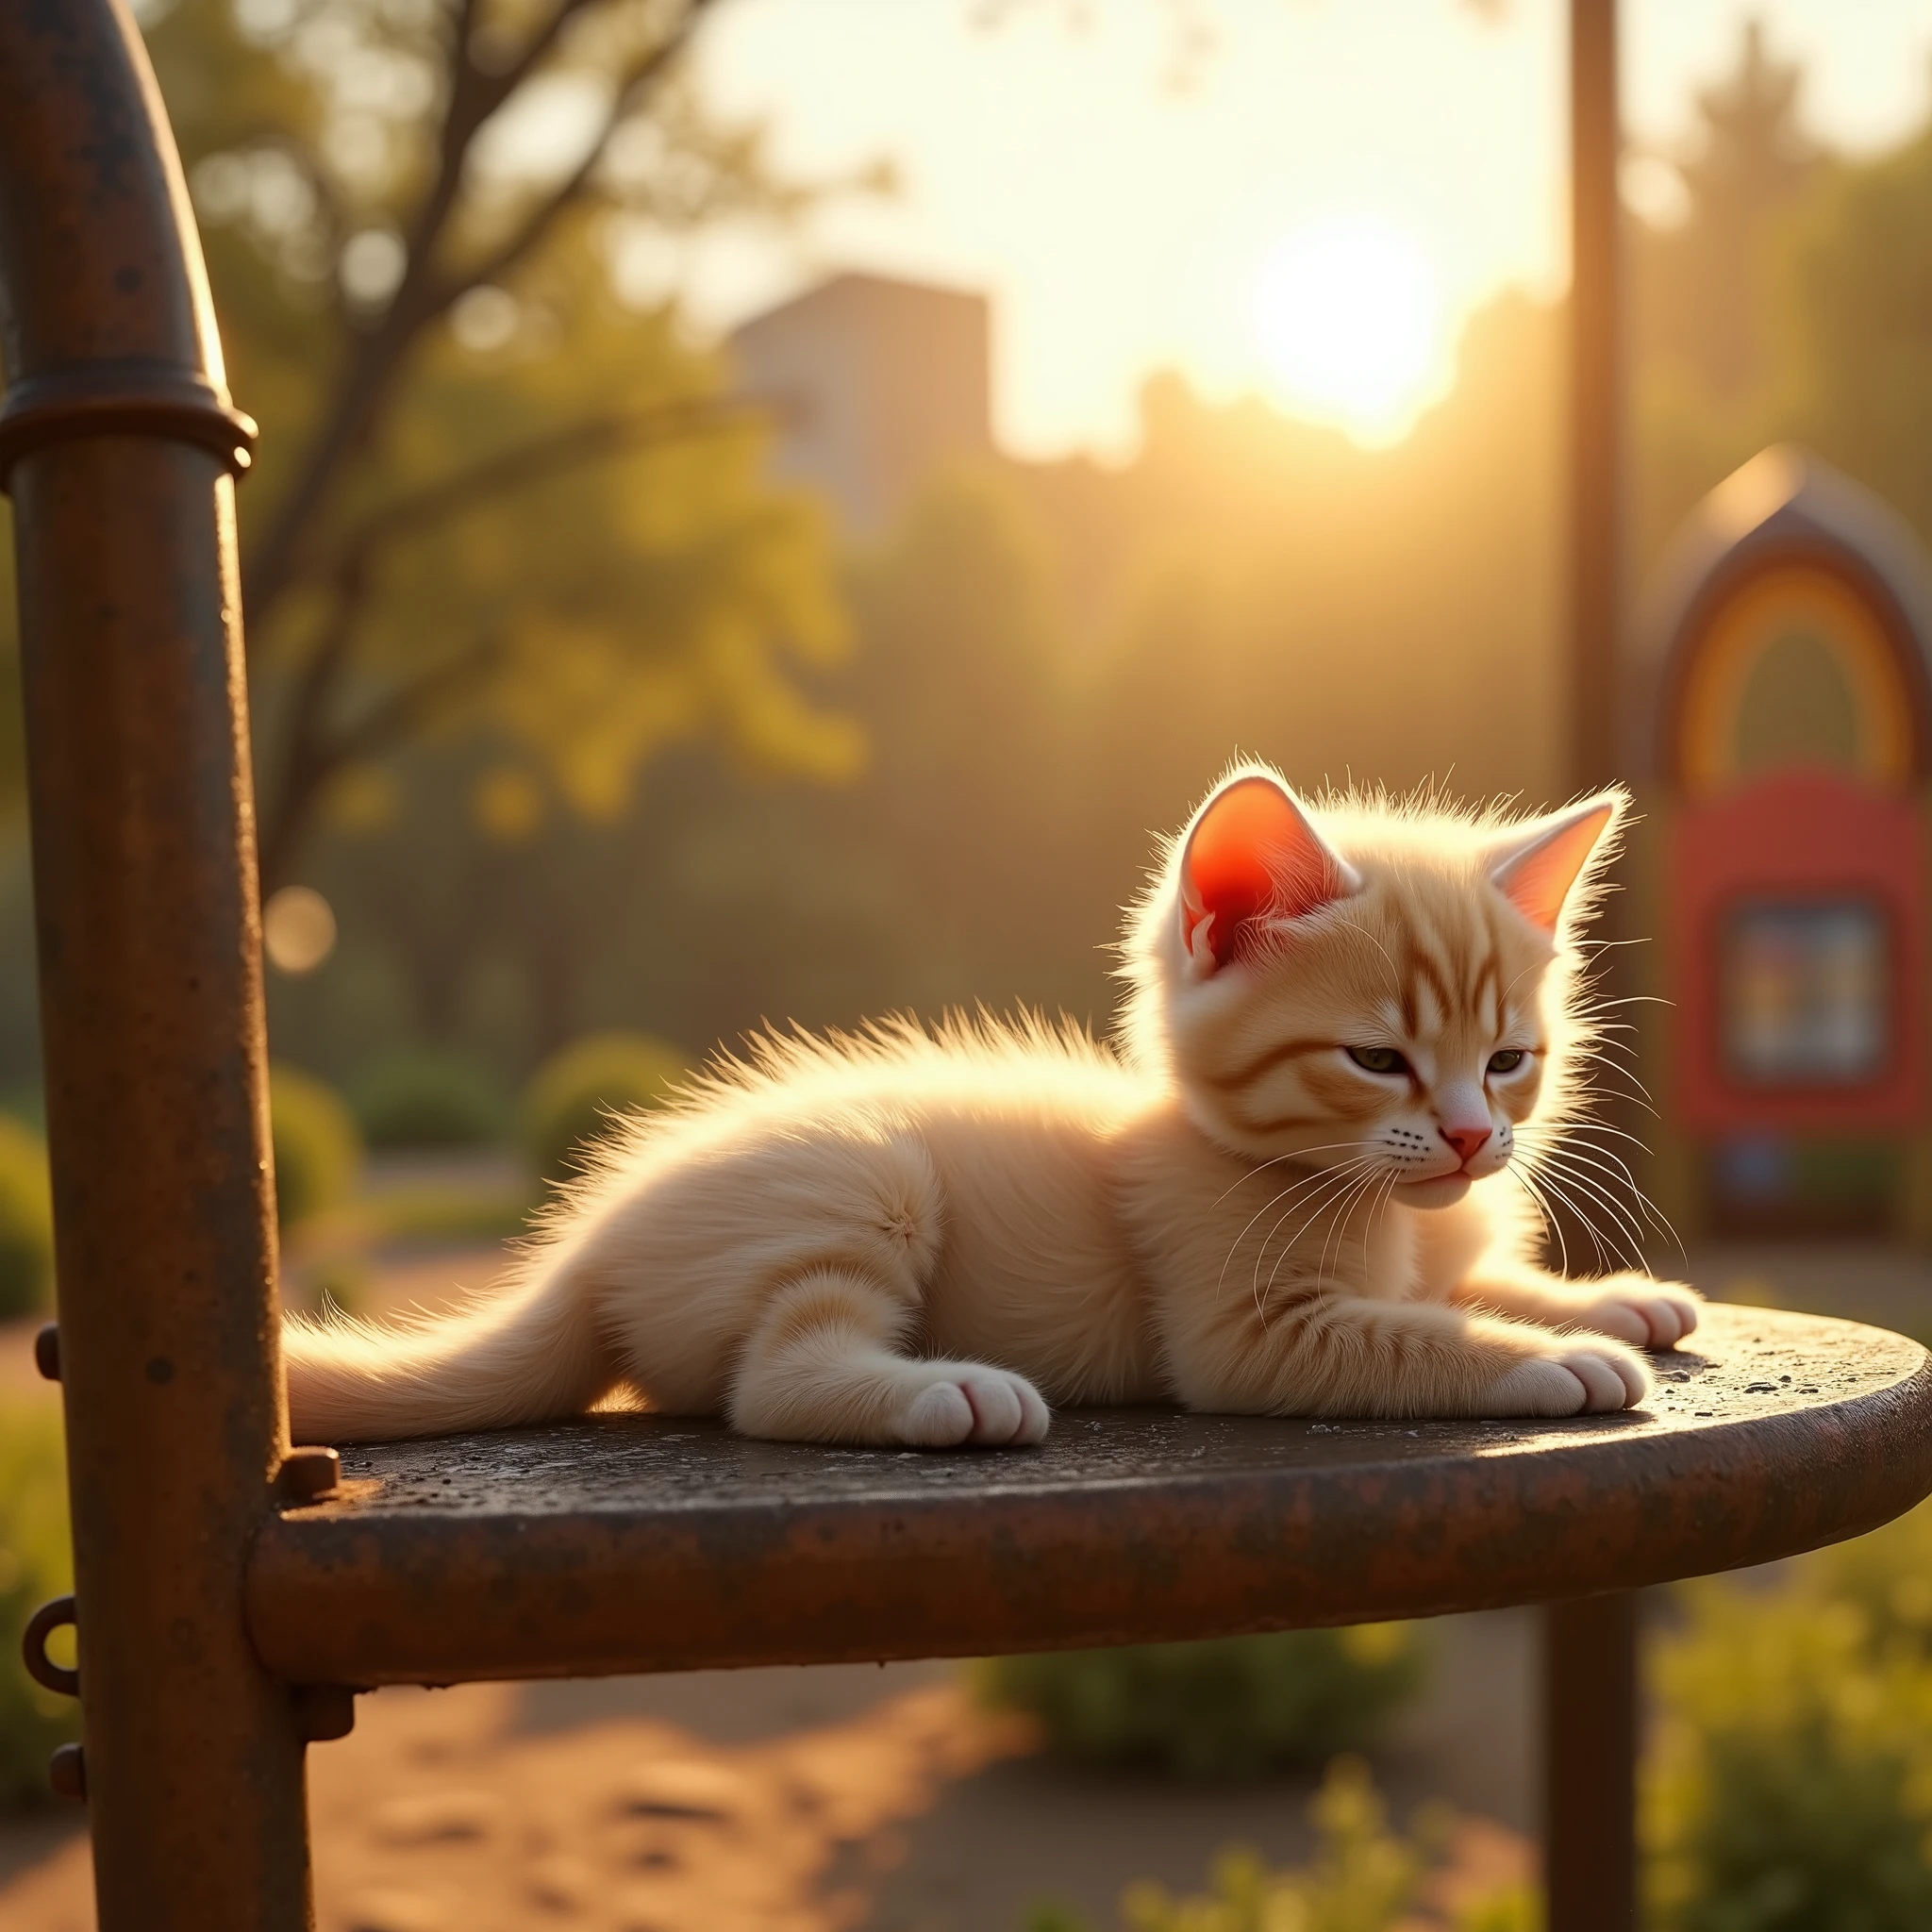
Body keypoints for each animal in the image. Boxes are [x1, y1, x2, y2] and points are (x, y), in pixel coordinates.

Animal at [282, 760, 1692, 1444]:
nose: (1467, 1135)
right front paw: (1557, 1355)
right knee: (768, 1379)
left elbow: (1458, 1290)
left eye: (1506, 1060)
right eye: (1376, 1059)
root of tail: (591, 1245)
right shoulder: (1249, 1331)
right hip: (864, 1179)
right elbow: (1412, 1335)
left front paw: (1603, 1299)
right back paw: (947, 1394)